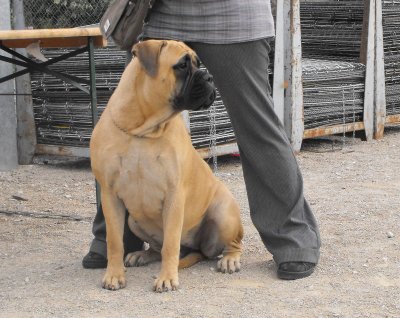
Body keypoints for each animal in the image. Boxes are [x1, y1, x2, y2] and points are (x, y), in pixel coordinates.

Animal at [90, 40, 244, 294]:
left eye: (198, 63)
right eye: (182, 65)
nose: (209, 77)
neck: (143, 130)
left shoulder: (174, 196)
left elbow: (171, 244)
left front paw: (167, 278)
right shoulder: (110, 195)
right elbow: (114, 241)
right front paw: (114, 275)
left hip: (223, 213)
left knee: (232, 242)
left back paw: (230, 259)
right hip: (133, 220)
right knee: (156, 246)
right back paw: (142, 255)